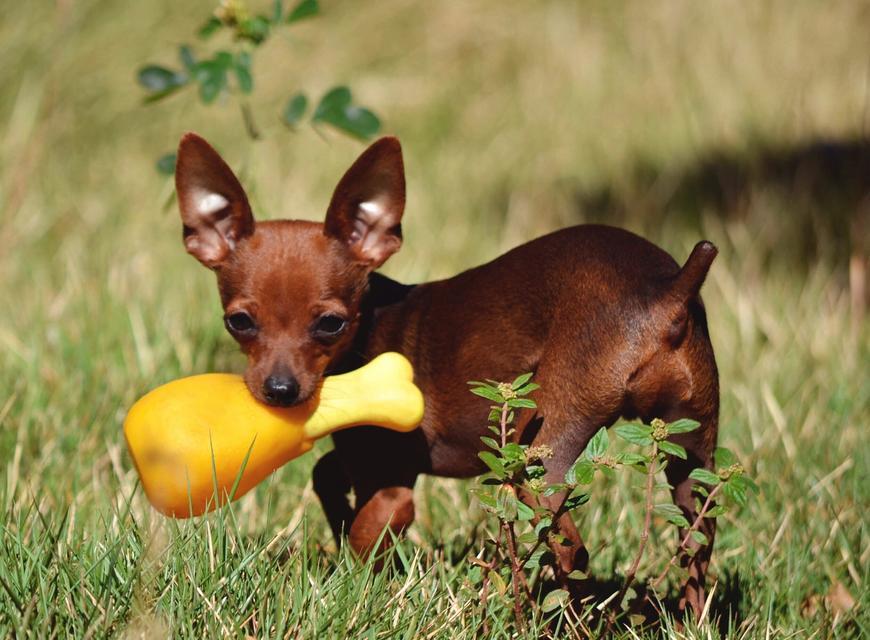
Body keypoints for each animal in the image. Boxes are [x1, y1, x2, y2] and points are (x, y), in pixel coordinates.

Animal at [174, 131, 720, 616]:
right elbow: (326, 474)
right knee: (697, 540)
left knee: (567, 546)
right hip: (694, 457)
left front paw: (356, 591)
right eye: (240, 322)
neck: (372, 323)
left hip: (542, 462)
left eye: (330, 324)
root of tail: (667, 290)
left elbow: (365, 536)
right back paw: (687, 620)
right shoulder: (364, 458)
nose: (280, 390)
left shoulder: (392, 488)